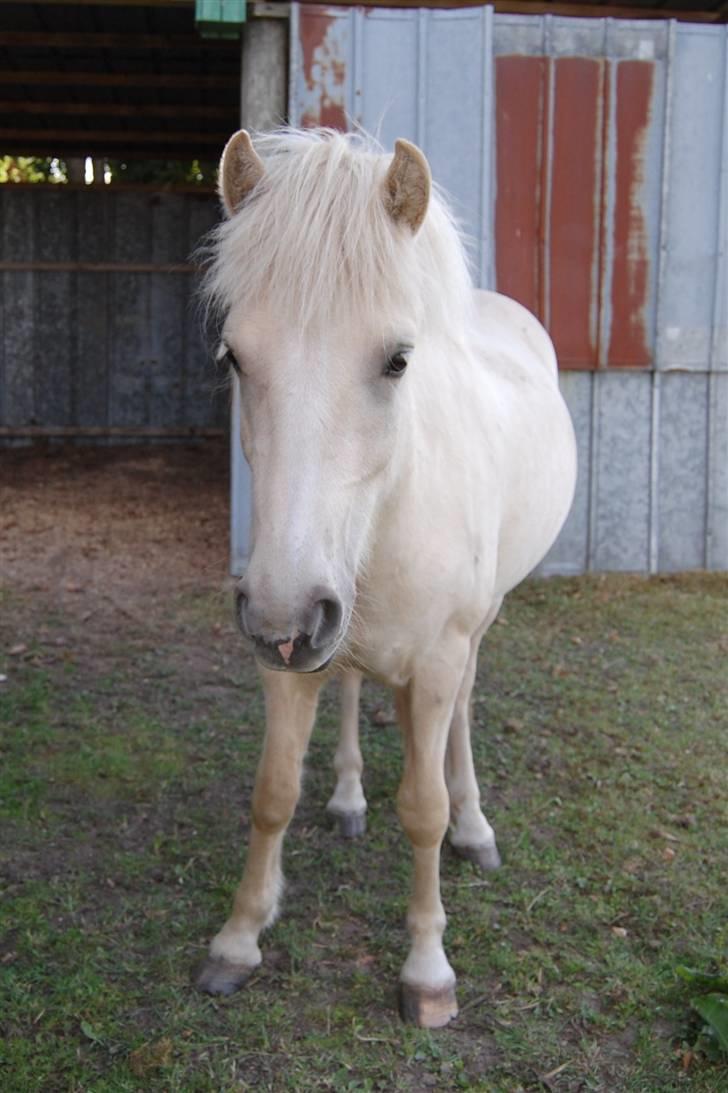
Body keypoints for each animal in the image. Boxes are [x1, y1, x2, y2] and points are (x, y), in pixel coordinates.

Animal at [195, 125, 577, 1023]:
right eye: (235, 355)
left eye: (399, 360)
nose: (284, 615)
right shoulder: (289, 658)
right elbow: (272, 790)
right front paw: (239, 937)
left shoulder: (435, 656)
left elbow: (423, 809)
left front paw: (428, 970)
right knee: (349, 684)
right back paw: (347, 797)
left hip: (478, 620)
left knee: (461, 712)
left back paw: (475, 827)